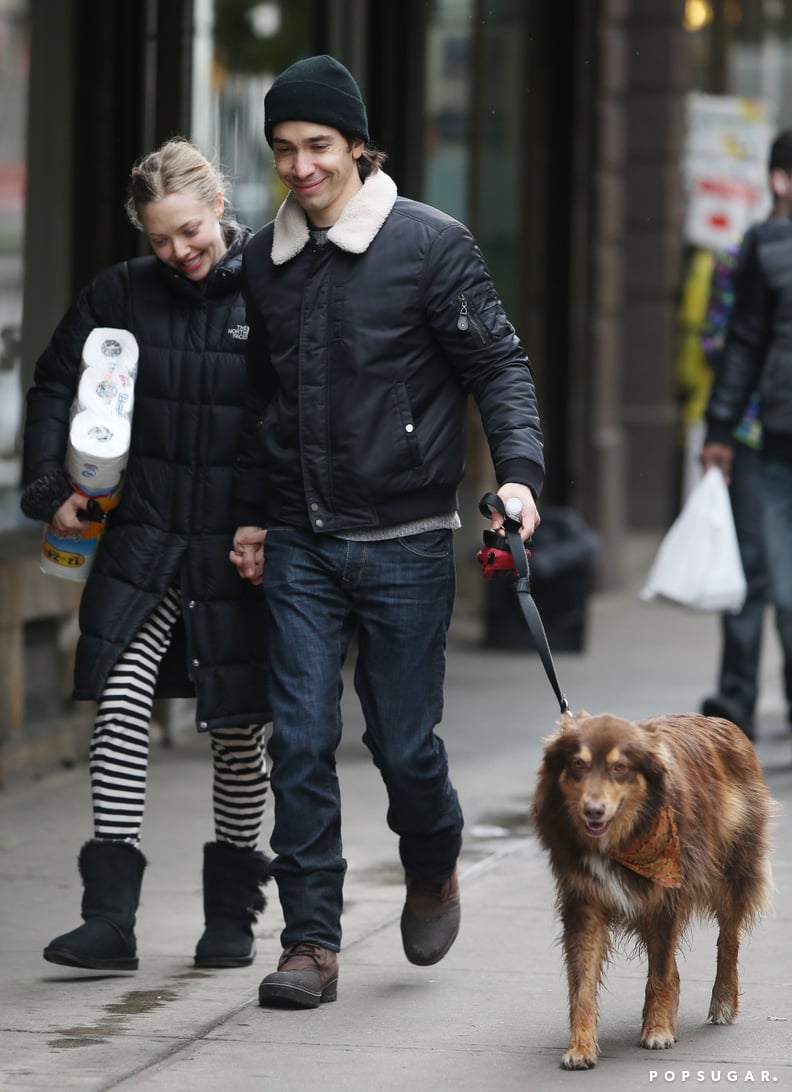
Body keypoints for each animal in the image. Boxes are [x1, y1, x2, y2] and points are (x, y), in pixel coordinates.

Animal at [530, 711, 773, 1070]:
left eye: (619, 767)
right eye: (578, 764)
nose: (592, 811)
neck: (621, 839)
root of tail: (723, 722)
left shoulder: (664, 899)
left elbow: (659, 972)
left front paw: (658, 1029)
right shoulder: (584, 903)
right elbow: (582, 982)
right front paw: (580, 1047)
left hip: (732, 870)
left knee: (728, 939)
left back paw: (723, 1002)